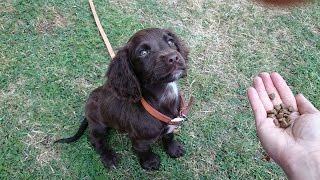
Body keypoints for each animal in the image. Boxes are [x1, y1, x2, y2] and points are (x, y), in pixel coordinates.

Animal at [56, 28, 189, 170]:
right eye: (143, 53)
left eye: (171, 42)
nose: (173, 58)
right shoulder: (138, 140)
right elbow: (144, 150)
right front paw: (150, 162)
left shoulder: (171, 126)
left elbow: (169, 136)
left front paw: (173, 149)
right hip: (98, 125)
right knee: (95, 140)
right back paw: (108, 157)